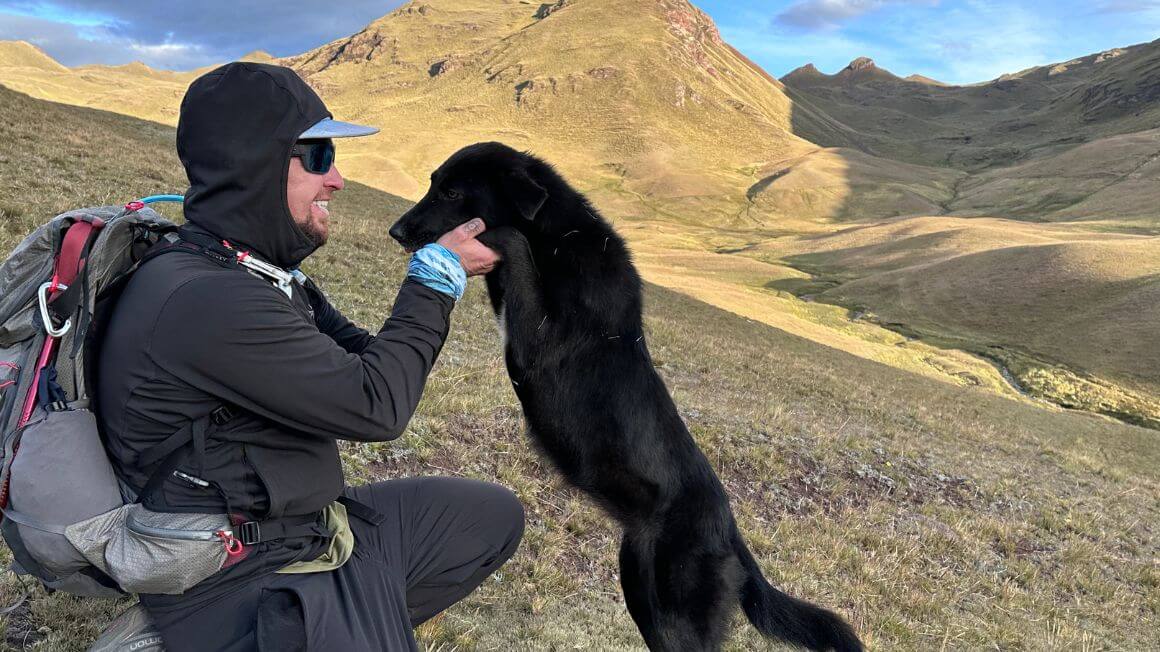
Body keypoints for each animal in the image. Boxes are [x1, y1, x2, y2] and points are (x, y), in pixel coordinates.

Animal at [389, 143, 863, 649]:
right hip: (641, 584)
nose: (396, 231)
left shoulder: (537, 344)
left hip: (676, 609)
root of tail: (731, 531)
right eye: (433, 183)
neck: (558, 236)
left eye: (452, 192)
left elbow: (510, 237)